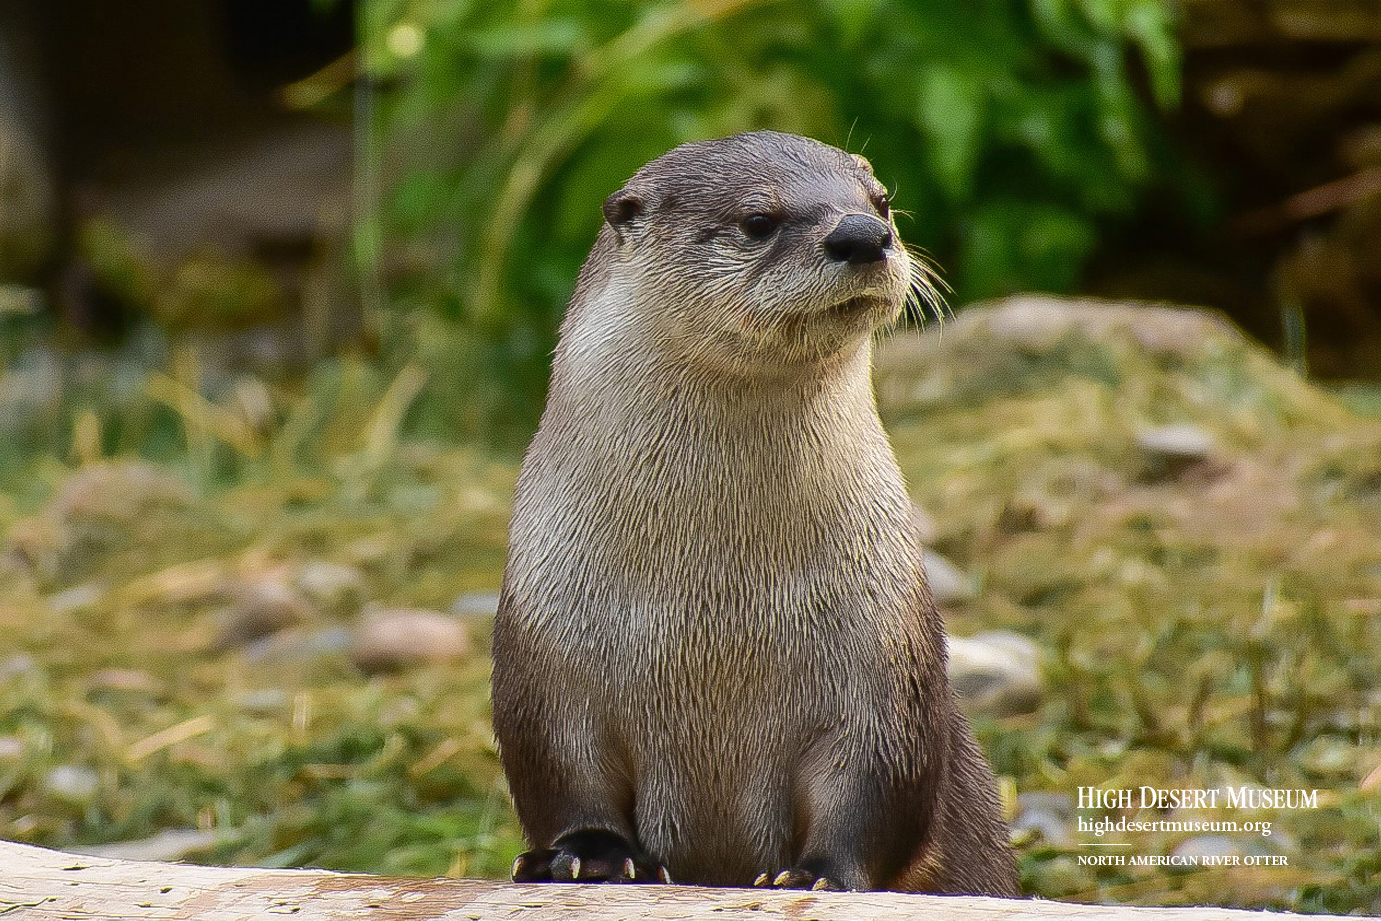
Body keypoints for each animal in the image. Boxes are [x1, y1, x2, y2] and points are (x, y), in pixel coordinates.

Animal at [491, 129, 1021, 894]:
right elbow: (560, 769)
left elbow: (874, 779)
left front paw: (818, 874)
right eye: (759, 220)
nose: (864, 235)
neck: (712, 610)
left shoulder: (884, 651)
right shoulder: (545, 645)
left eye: (880, 201)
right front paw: (590, 855)